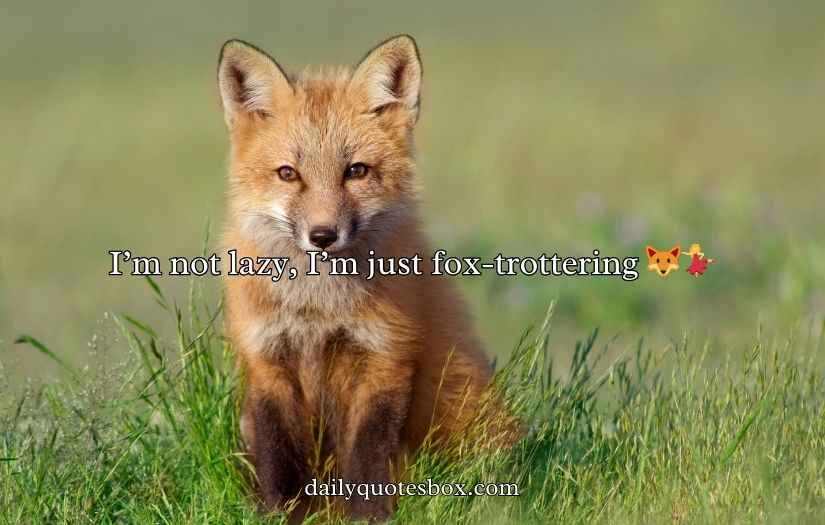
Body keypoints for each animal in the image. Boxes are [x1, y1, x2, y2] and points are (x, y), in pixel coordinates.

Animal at [217, 35, 518, 521]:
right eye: (288, 174)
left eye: (355, 171)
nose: (322, 236)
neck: (318, 308)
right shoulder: (267, 360)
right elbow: (278, 456)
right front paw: (281, 514)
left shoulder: (384, 356)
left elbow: (367, 454)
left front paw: (369, 517)